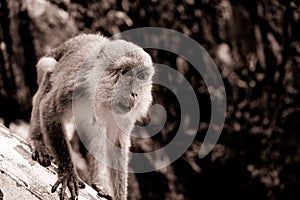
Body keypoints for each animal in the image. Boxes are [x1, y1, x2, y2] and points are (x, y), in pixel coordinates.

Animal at [29, 33, 155, 199]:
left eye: (141, 76)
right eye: (126, 72)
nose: (134, 93)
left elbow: (116, 143)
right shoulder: (77, 84)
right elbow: (49, 109)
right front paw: (68, 172)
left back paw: (99, 183)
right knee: (49, 70)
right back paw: (37, 142)